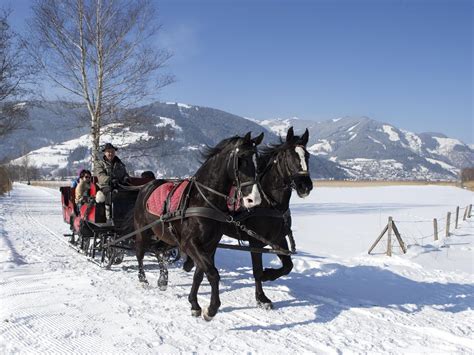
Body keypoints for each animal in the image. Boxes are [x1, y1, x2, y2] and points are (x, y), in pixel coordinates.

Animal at [131, 132, 262, 322]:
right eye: (241, 159)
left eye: (258, 161)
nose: (254, 199)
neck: (203, 200)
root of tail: (146, 186)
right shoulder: (190, 243)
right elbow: (212, 273)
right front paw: (212, 309)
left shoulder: (210, 245)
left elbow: (199, 274)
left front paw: (194, 304)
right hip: (143, 231)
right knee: (140, 253)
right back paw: (142, 279)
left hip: (165, 235)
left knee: (158, 251)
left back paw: (163, 279)